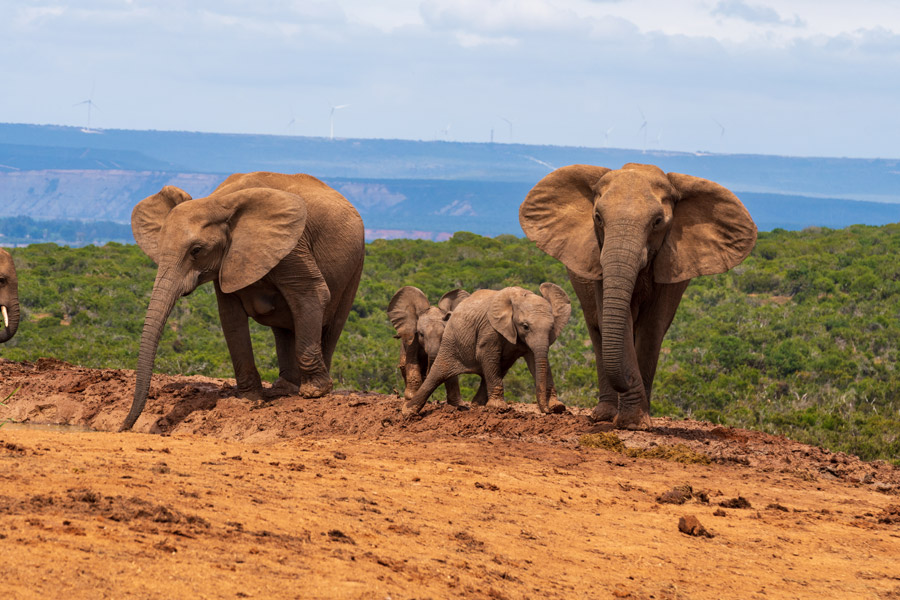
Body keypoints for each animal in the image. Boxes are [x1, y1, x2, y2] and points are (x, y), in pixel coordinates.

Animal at [123, 171, 366, 428]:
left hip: (356, 262)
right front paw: (249, 399)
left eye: (196, 250)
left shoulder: (292, 248)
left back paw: (315, 389)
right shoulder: (228, 261)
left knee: (332, 322)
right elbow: (230, 317)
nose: (125, 426)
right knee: (284, 328)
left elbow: (312, 293)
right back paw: (284, 388)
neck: (216, 202)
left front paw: (313, 393)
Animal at [402, 282, 568, 414]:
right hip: (451, 340)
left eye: (552, 327)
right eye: (525, 326)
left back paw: (476, 406)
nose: (545, 411)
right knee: (439, 372)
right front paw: (499, 408)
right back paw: (407, 412)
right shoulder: (489, 327)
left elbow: (535, 360)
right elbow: (486, 353)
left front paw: (558, 407)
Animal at [516, 162, 756, 428]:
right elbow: (618, 322)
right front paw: (631, 420)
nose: (629, 379)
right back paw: (605, 414)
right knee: (597, 330)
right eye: (598, 218)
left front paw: (635, 422)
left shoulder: (670, 266)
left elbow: (652, 327)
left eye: (658, 221)